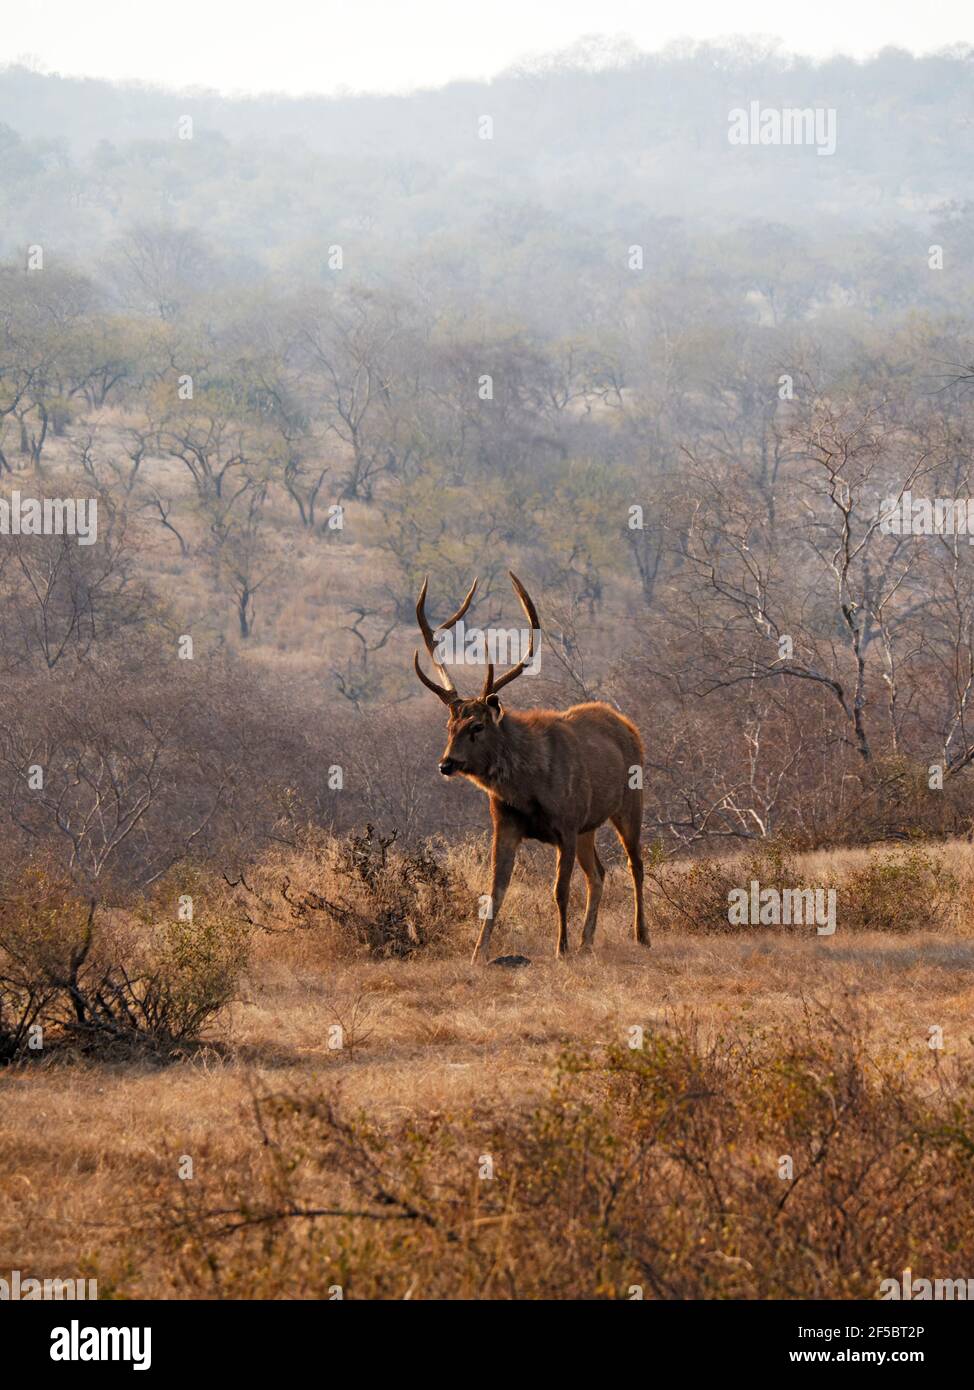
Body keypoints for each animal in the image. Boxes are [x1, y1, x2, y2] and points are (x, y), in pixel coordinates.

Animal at [411, 569, 644, 961]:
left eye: (477, 726)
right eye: (449, 726)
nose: (446, 763)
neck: (529, 788)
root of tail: (629, 726)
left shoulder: (566, 823)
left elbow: (559, 890)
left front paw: (560, 948)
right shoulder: (505, 823)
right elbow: (495, 891)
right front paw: (478, 954)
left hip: (629, 802)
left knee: (634, 864)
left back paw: (641, 936)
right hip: (589, 826)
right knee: (598, 873)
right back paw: (587, 942)